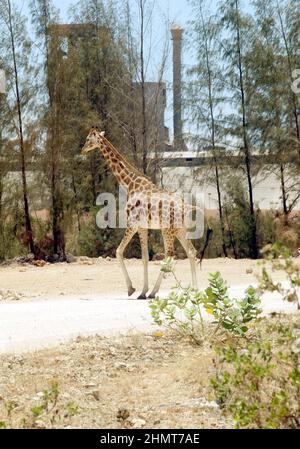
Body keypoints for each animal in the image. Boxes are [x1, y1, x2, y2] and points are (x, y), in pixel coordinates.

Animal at [81, 128, 200, 300]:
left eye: (88, 139)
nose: (82, 150)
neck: (130, 184)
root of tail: (185, 206)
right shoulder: (143, 227)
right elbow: (144, 257)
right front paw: (142, 291)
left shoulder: (132, 223)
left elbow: (118, 251)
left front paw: (132, 289)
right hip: (179, 229)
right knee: (191, 251)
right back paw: (195, 290)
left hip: (167, 229)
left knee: (170, 254)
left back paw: (154, 292)